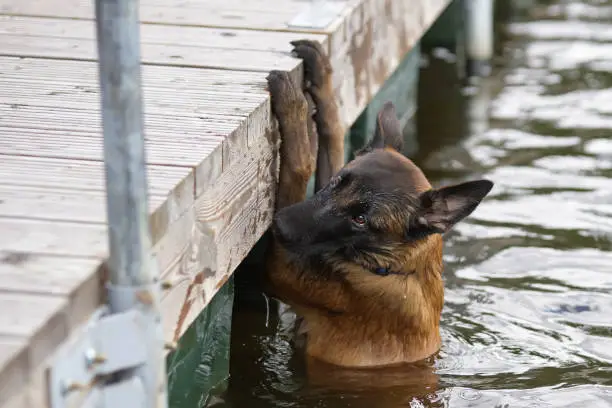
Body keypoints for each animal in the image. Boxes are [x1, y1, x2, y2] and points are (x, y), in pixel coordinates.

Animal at [262, 39, 492, 370]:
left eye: (361, 219)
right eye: (337, 182)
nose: (279, 224)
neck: (397, 266)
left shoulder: (280, 268)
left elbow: (300, 165)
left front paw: (294, 108)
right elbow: (333, 133)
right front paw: (321, 78)